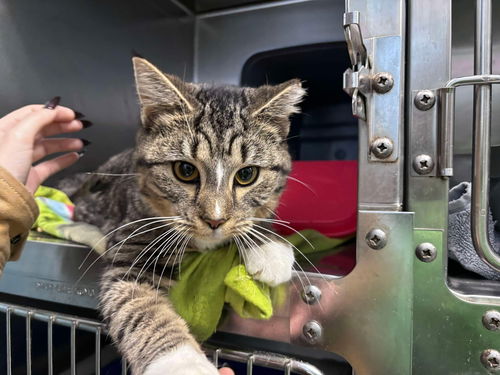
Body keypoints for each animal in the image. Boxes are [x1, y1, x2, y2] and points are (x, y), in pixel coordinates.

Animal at [68, 57, 304, 374]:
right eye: (185, 170)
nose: (215, 220)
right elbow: (139, 306)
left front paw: (268, 244)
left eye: (247, 175)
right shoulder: (134, 242)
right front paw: (182, 363)